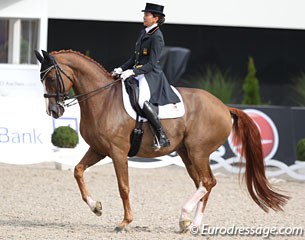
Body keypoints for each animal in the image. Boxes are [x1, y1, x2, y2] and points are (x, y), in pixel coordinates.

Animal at [33, 50, 288, 232]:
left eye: (52, 77)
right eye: (42, 79)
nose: (54, 111)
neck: (103, 99)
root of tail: (224, 107)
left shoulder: (117, 151)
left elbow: (123, 187)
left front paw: (125, 222)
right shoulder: (98, 149)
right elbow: (77, 171)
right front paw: (95, 207)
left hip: (198, 152)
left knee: (208, 182)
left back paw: (186, 217)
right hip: (188, 154)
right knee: (204, 183)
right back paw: (191, 223)